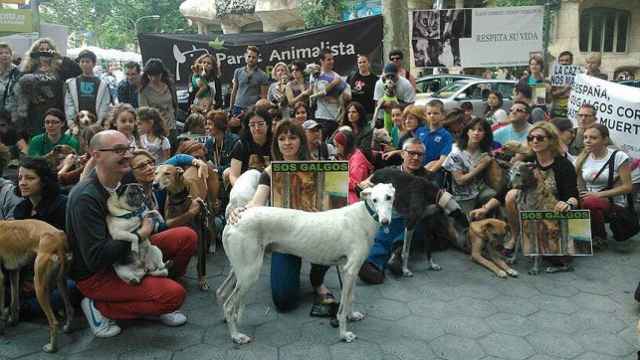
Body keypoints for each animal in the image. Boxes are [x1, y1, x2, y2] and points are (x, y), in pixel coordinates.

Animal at [0, 218, 73, 352]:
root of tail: (58, 239)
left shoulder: (0, 278)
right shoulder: (14, 271)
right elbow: (14, 302)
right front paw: (13, 321)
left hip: (38, 284)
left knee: (53, 323)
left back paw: (52, 348)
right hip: (60, 281)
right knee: (70, 308)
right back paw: (68, 328)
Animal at [218, 184, 392, 344]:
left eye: (389, 197)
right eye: (374, 200)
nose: (385, 222)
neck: (363, 216)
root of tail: (231, 223)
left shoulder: (349, 270)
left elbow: (350, 297)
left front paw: (353, 315)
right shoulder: (350, 270)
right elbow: (341, 309)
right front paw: (344, 334)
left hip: (240, 270)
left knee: (221, 293)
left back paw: (228, 321)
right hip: (249, 274)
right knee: (228, 305)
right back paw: (236, 336)